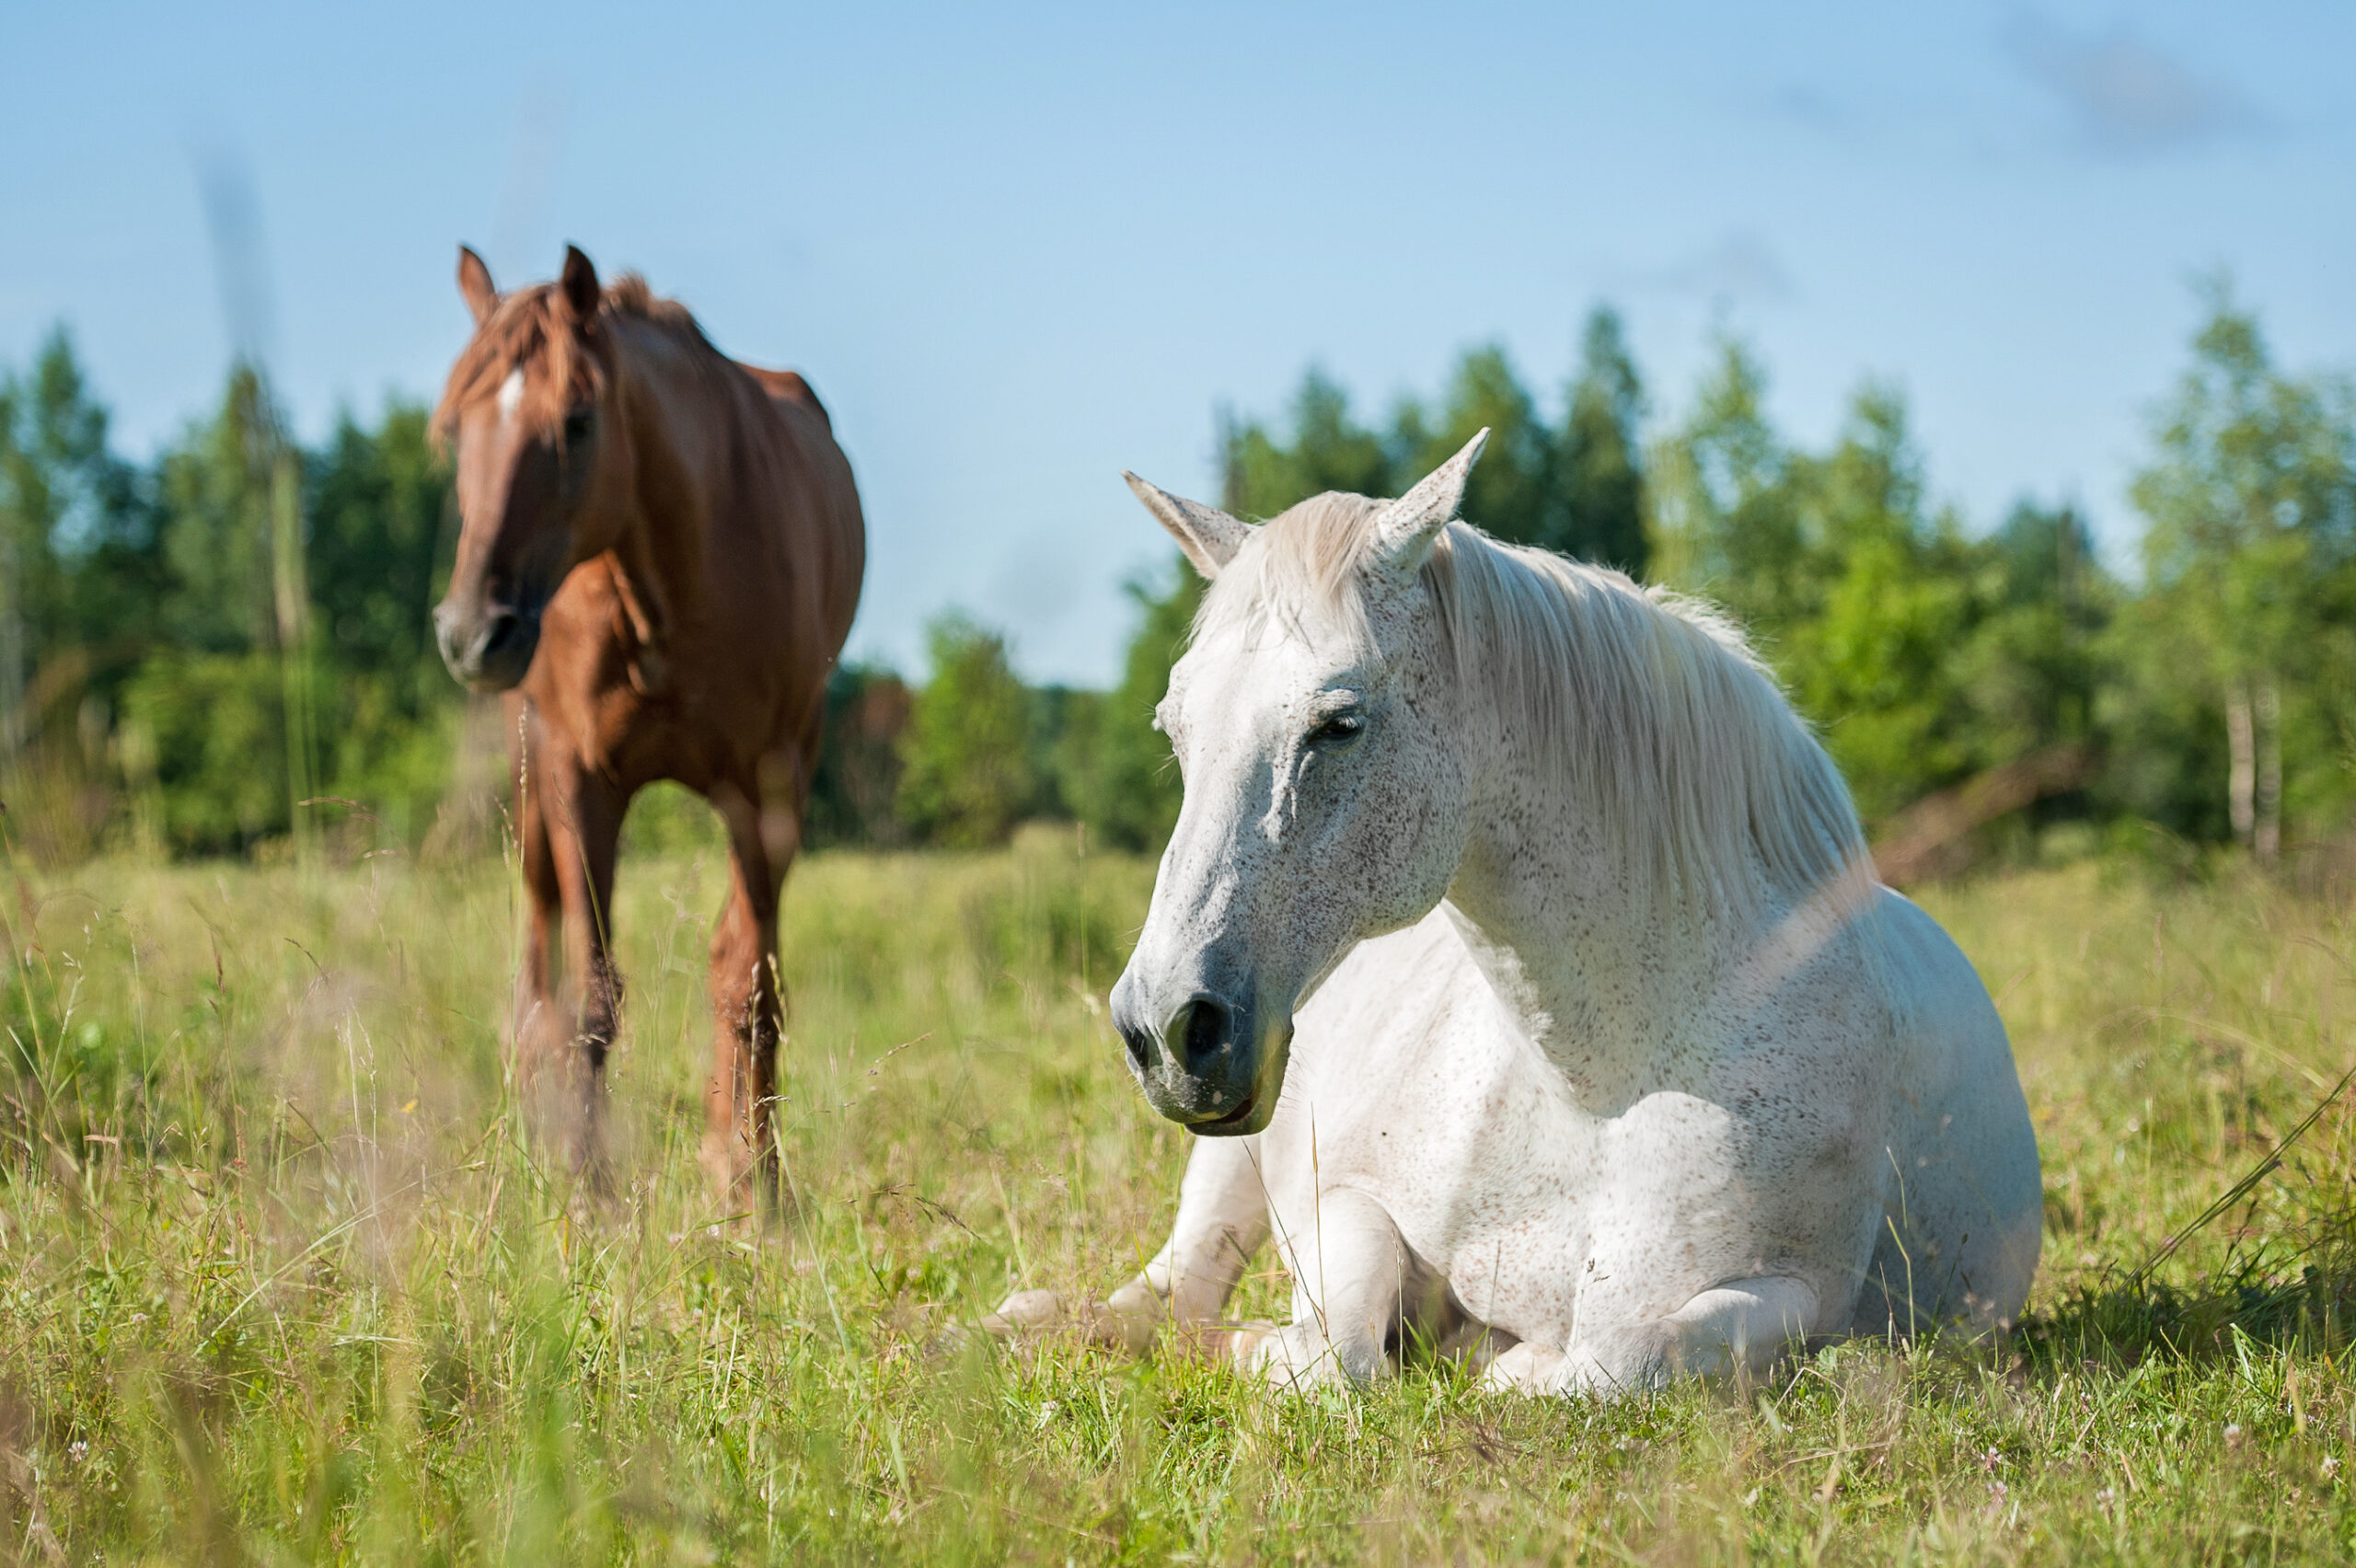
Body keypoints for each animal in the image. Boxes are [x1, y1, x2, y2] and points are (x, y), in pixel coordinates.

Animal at [985, 431, 2035, 1393]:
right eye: (1176, 730)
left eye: (1339, 724)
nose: (1166, 1026)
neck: (1599, 1083)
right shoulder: (1347, 1199)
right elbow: (1337, 1349)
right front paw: (1275, 1345)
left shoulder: (1798, 1294)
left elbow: (1617, 1359)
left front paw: (1493, 1357)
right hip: (1234, 1148)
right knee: (1172, 1288)